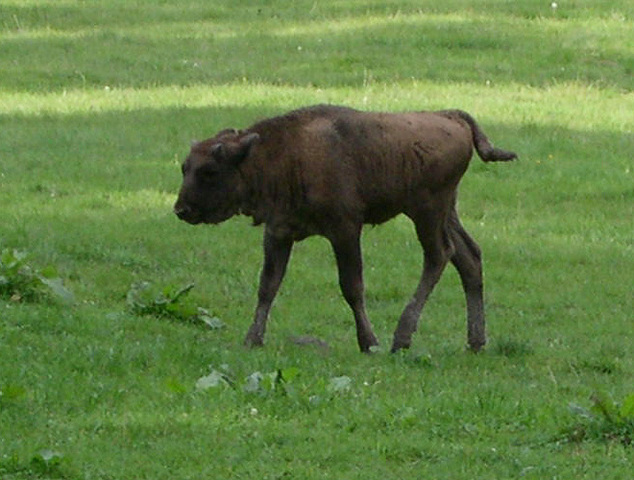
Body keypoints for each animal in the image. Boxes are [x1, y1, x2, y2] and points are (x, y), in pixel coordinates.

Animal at [174, 105, 512, 352]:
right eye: (184, 167)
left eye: (210, 171)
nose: (181, 210)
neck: (282, 154)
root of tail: (450, 116)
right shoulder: (278, 233)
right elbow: (268, 285)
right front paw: (252, 339)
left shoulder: (345, 230)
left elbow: (351, 286)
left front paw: (369, 343)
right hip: (445, 213)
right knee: (469, 257)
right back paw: (475, 342)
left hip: (427, 211)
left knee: (439, 255)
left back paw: (401, 338)